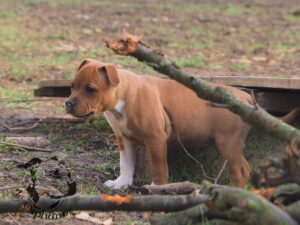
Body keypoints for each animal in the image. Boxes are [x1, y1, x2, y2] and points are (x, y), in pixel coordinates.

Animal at [65, 58, 300, 188]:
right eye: (72, 86)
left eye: (91, 89)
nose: (68, 103)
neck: (122, 98)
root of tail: (245, 99)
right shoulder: (124, 140)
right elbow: (126, 164)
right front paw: (121, 183)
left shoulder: (156, 139)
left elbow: (159, 168)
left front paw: (157, 188)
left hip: (228, 142)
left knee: (241, 170)